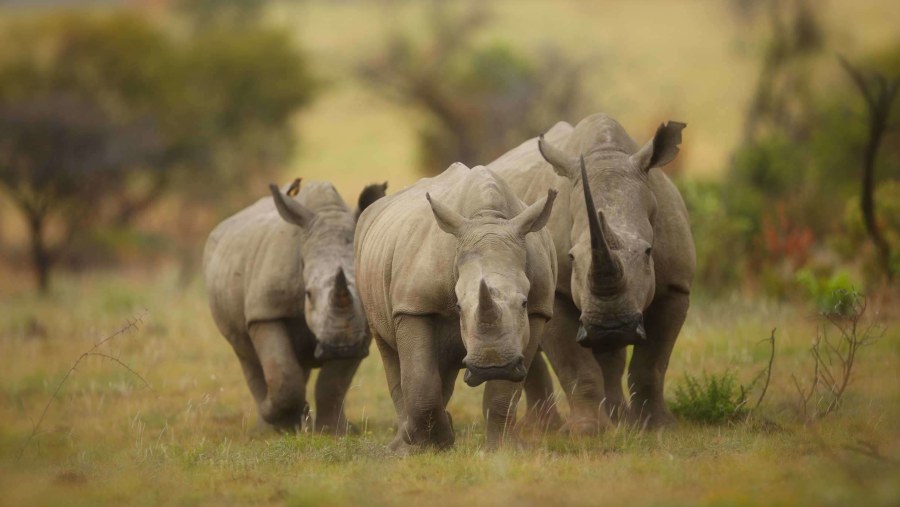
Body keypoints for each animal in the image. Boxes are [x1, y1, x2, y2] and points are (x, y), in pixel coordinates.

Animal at [204, 178, 386, 432]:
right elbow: (283, 376)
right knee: (246, 354)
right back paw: (266, 428)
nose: (341, 349)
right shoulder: (266, 311)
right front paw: (282, 425)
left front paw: (335, 432)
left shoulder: (362, 329)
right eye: (308, 294)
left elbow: (334, 383)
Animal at [354, 164, 556, 452]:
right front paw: (429, 447)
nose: (492, 366)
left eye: (524, 302)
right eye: (459, 306)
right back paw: (403, 445)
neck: (487, 219)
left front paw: (501, 450)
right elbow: (420, 379)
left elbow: (505, 392)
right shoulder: (413, 306)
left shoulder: (538, 310)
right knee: (391, 353)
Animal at [492, 113, 696, 430]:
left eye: (648, 252)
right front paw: (587, 431)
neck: (607, 154)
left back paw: (618, 418)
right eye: (571, 257)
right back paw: (544, 429)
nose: (610, 326)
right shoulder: (556, 293)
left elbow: (651, 365)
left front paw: (658, 428)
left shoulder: (676, 286)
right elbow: (576, 367)